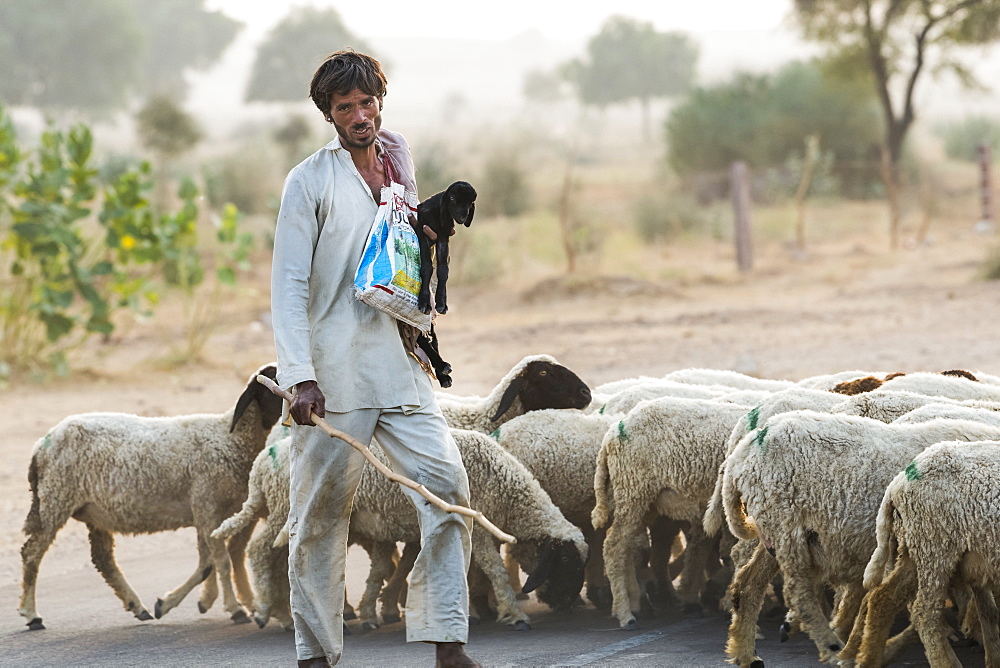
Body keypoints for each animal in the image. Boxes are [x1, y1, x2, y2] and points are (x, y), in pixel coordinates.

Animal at [19, 362, 286, 628]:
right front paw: (235, 609)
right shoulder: (206, 505)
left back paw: (138, 607)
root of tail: (40, 445)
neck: (230, 438)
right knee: (32, 553)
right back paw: (32, 614)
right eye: (275, 382)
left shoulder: (212, 514)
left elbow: (208, 564)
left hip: (93, 512)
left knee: (103, 559)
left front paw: (173, 603)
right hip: (55, 498)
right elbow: (221, 561)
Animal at [720, 410, 1000, 664]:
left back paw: (746, 653)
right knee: (798, 590)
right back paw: (829, 644)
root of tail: (744, 451)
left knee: (748, 583)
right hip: (785, 519)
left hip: (775, 530)